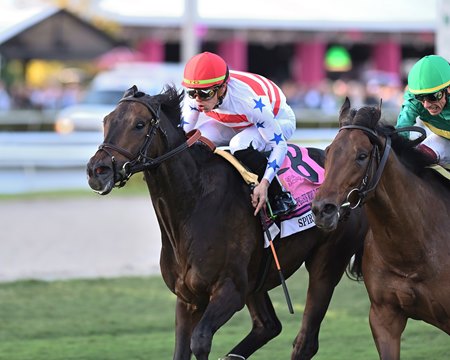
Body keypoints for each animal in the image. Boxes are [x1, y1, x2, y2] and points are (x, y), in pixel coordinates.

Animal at [86, 86, 368, 358]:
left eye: (139, 124)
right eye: (106, 120)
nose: (97, 171)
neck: (194, 203)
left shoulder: (230, 290)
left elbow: (199, 341)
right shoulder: (188, 298)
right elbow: (182, 349)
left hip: (326, 263)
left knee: (305, 341)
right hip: (256, 279)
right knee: (268, 326)